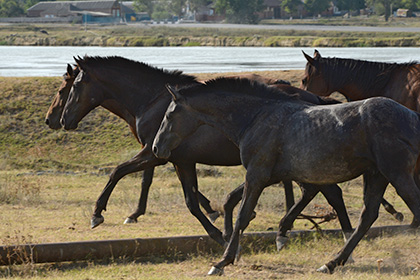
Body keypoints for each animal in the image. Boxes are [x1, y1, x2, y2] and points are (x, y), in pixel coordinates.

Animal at [153, 77, 420, 274]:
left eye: (169, 115)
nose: (156, 148)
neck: (256, 117)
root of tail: (412, 117)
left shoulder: (257, 174)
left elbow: (242, 215)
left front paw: (222, 262)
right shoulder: (269, 175)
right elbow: (237, 203)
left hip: (396, 174)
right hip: (377, 175)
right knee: (367, 217)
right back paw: (331, 263)